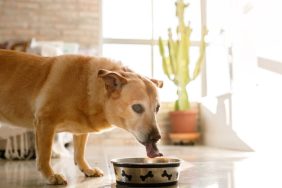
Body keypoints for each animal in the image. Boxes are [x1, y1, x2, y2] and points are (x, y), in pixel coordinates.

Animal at [0, 49, 163, 184]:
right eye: (137, 107)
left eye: (157, 108)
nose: (157, 137)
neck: (86, 86)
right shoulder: (45, 122)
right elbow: (45, 156)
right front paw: (51, 175)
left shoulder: (80, 130)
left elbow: (79, 153)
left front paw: (87, 169)